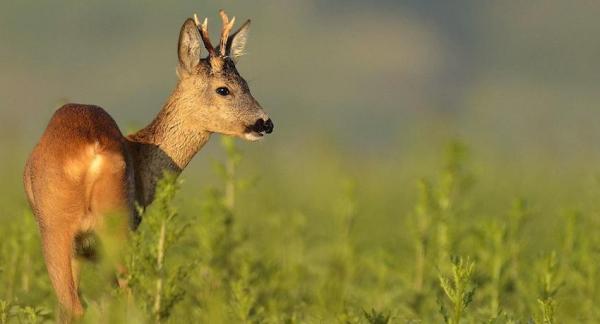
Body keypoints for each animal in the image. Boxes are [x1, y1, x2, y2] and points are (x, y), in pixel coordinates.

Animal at [22, 9, 272, 318]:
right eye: (223, 89)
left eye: (246, 84)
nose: (265, 123)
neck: (137, 153)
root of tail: (95, 151)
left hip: (66, 226)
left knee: (82, 304)